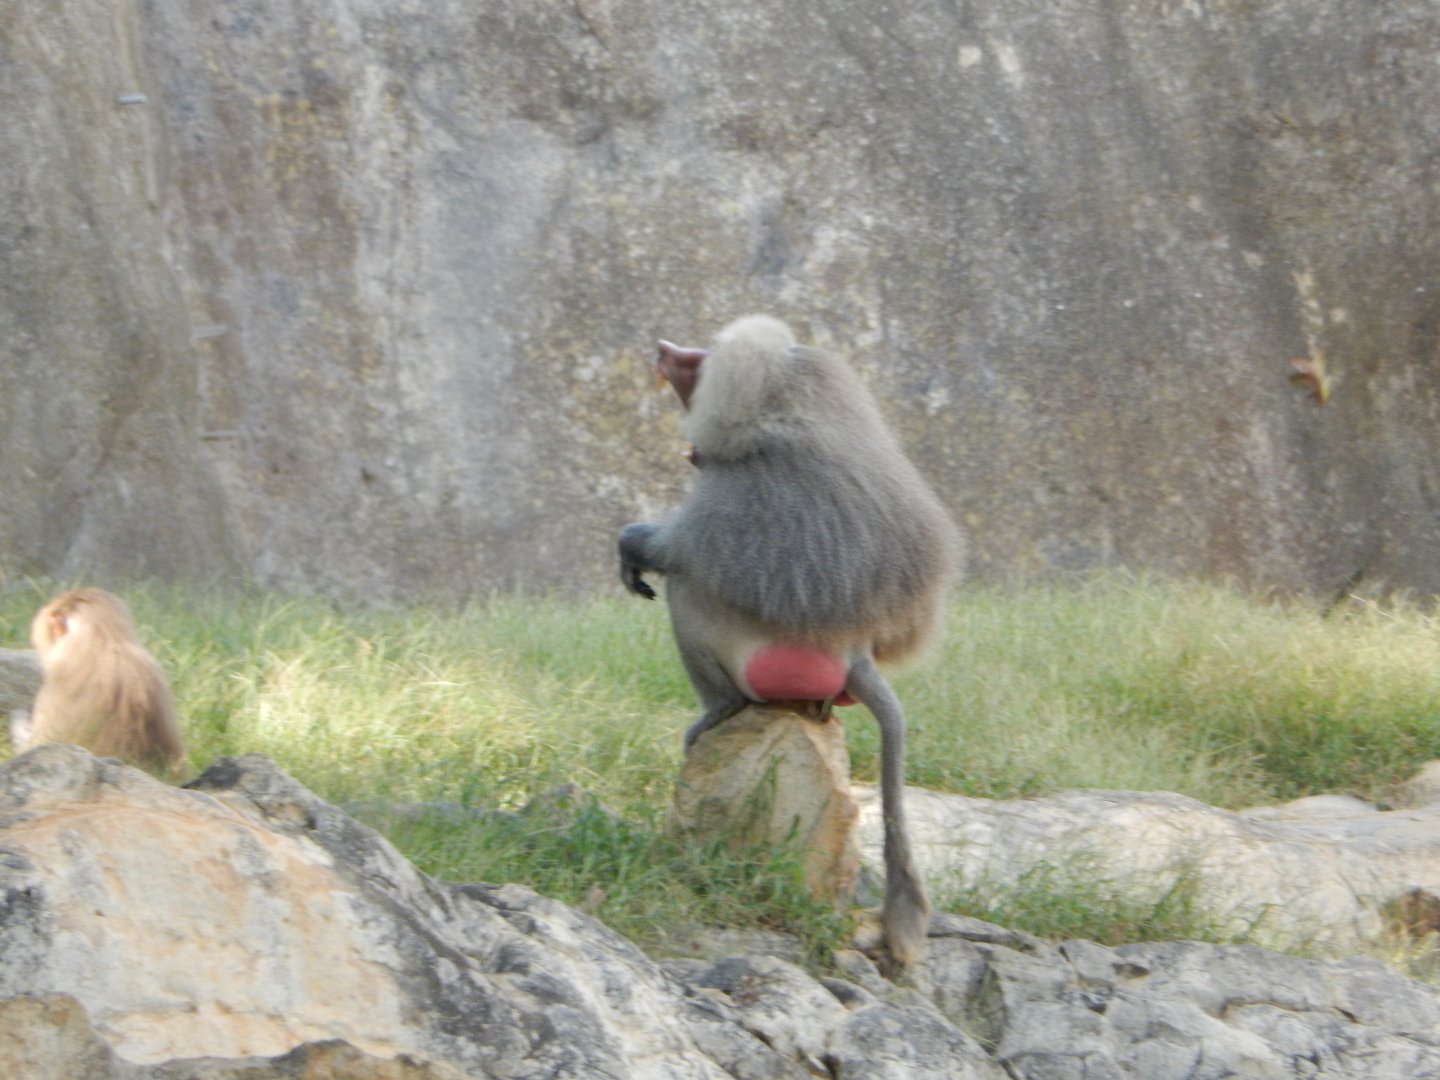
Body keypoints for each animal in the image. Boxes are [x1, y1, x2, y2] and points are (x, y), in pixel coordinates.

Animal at [619, 315, 961, 973]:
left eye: (699, 361)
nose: (666, 348)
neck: (793, 412)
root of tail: (855, 652)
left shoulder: (738, 487)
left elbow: (684, 552)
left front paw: (635, 543)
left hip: (756, 655)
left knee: (692, 591)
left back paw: (718, 711)